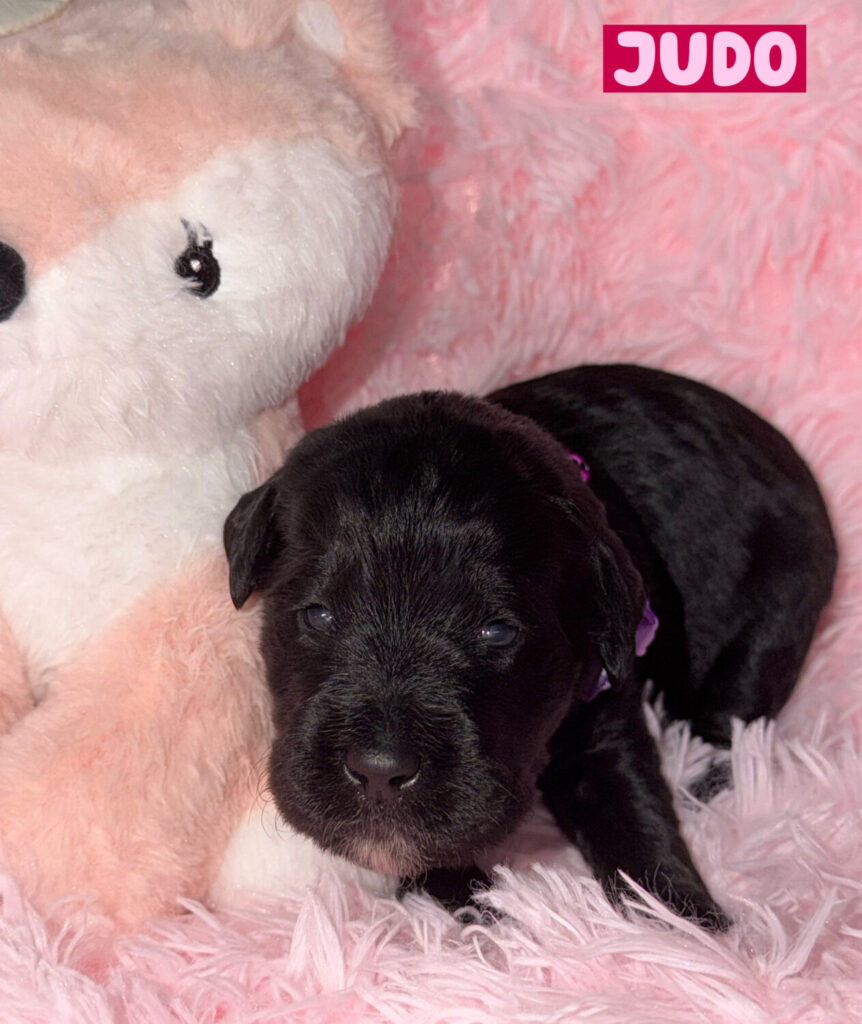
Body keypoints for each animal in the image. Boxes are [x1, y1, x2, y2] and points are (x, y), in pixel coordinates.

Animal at [224, 363, 837, 929]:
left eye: (497, 631)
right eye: (318, 614)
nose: (379, 770)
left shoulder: (605, 713)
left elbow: (636, 815)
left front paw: (687, 926)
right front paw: (481, 909)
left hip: (772, 616)